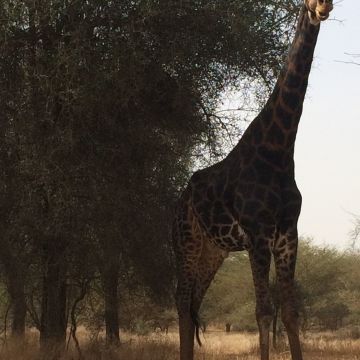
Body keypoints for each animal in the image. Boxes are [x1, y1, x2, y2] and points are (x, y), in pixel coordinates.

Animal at [173, 1, 334, 358]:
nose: (323, 7)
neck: (279, 149)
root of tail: (181, 198)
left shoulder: (288, 234)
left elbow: (289, 312)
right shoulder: (258, 235)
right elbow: (263, 311)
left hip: (213, 251)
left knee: (193, 303)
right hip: (185, 241)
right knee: (181, 302)